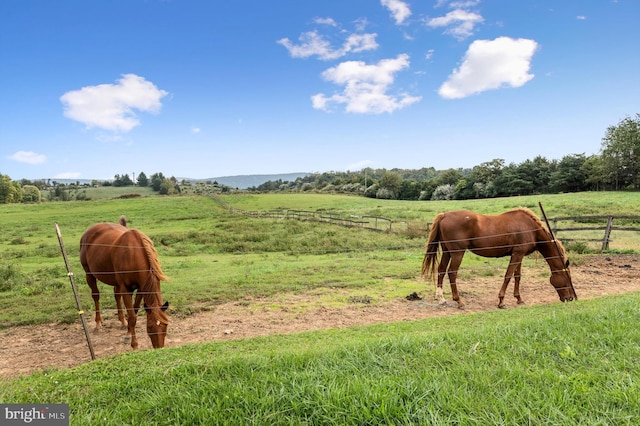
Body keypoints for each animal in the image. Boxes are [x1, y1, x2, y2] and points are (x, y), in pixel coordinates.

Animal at [79, 218, 170, 348]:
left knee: (116, 296)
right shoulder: (126, 288)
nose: (159, 348)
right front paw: (133, 342)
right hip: (89, 274)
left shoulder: (141, 288)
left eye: (165, 324)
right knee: (96, 296)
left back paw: (122, 321)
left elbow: (134, 311)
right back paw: (98, 324)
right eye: (149, 327)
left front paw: (128, 331)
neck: (134, 254)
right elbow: (132, 316)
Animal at [422, 208, 576, 308]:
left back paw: (441, 299)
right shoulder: (517, 254)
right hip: (457, 253)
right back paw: (459, 301)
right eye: (567, 278)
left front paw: (519, 299)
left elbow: (517, 276)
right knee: (452, 273)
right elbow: (508, 276)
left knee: (441, 270)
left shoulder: (519, 255)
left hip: (447, 251)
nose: (570, 298)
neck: (531, 228)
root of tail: (444, 215)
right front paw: (501, 301)